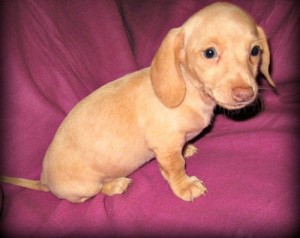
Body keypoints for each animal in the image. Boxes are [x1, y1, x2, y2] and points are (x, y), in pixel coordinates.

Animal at [1, 1, 276, 203]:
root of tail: (44, 181)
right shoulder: (165, 147)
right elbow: (176, 168)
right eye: (209, 53)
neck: (191, 93)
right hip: (85, 188)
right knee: (92, 193)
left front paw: (187, 147)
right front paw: (185, 186)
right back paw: (115, 185)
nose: (245, 94)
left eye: (255, 51)